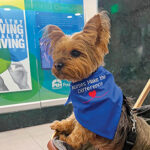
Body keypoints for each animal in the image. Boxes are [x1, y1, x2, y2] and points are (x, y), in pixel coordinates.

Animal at [43, 11, 150, 149]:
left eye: (75, 53)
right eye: (57, 53)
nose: (57, 65)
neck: (86, 82)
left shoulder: (92, 118)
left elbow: (77, 135)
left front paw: (66, 140)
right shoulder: (81, 110)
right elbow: (73, 117)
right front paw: (61, 125)